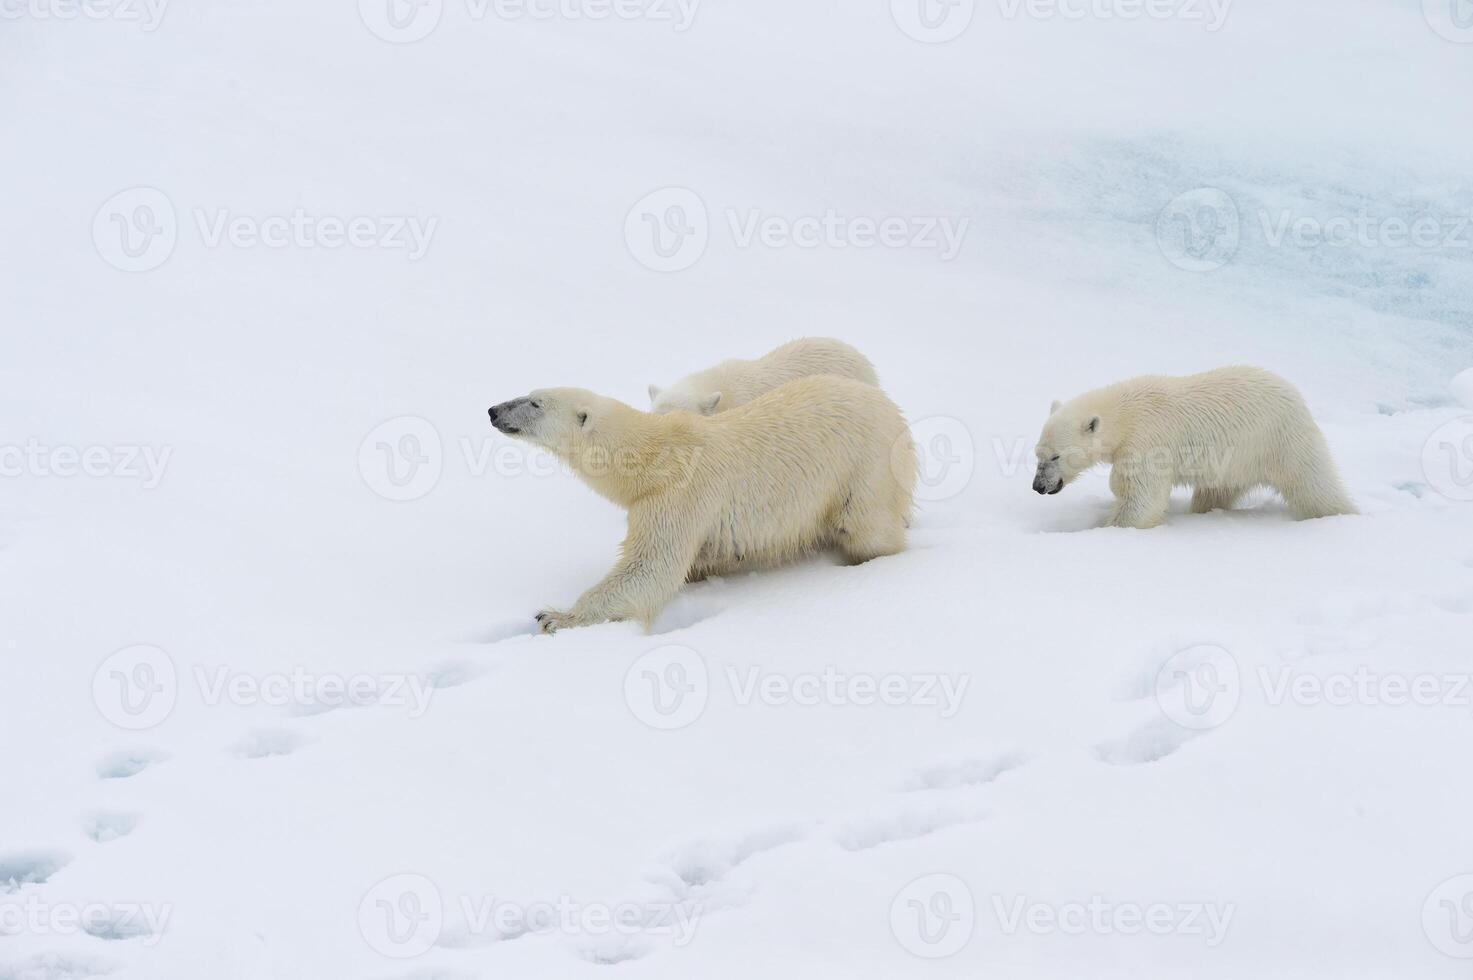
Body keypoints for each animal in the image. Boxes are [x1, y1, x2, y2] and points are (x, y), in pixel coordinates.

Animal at [489, 371, 913, 630]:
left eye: (535, 403)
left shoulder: (677, 495)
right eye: (528, 394)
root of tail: (892, 408)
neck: (652, 457)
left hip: (865, 466)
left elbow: (650, 568)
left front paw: (556, 616)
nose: (493, 410)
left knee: (868, 528)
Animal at [1036, 362, 1355, 527]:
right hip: (1235, 463)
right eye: (1037, 454)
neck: (1125, 414)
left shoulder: (1147, 442)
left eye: (1056, 456)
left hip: (1281, 441)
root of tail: (1298, 399)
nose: (1038, 486)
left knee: (1314, 486)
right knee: (1215, 493)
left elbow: (1142, 497)